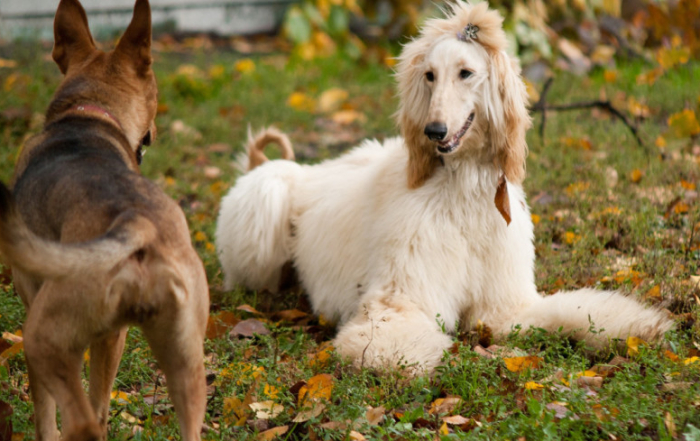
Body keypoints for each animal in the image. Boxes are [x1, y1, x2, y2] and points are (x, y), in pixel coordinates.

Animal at [0, 0, 209, 440]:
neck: (88, 115)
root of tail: (137, 223)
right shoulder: (114, 337)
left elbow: (44, 416)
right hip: (187, 363)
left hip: (42, 338)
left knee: (80, 421)